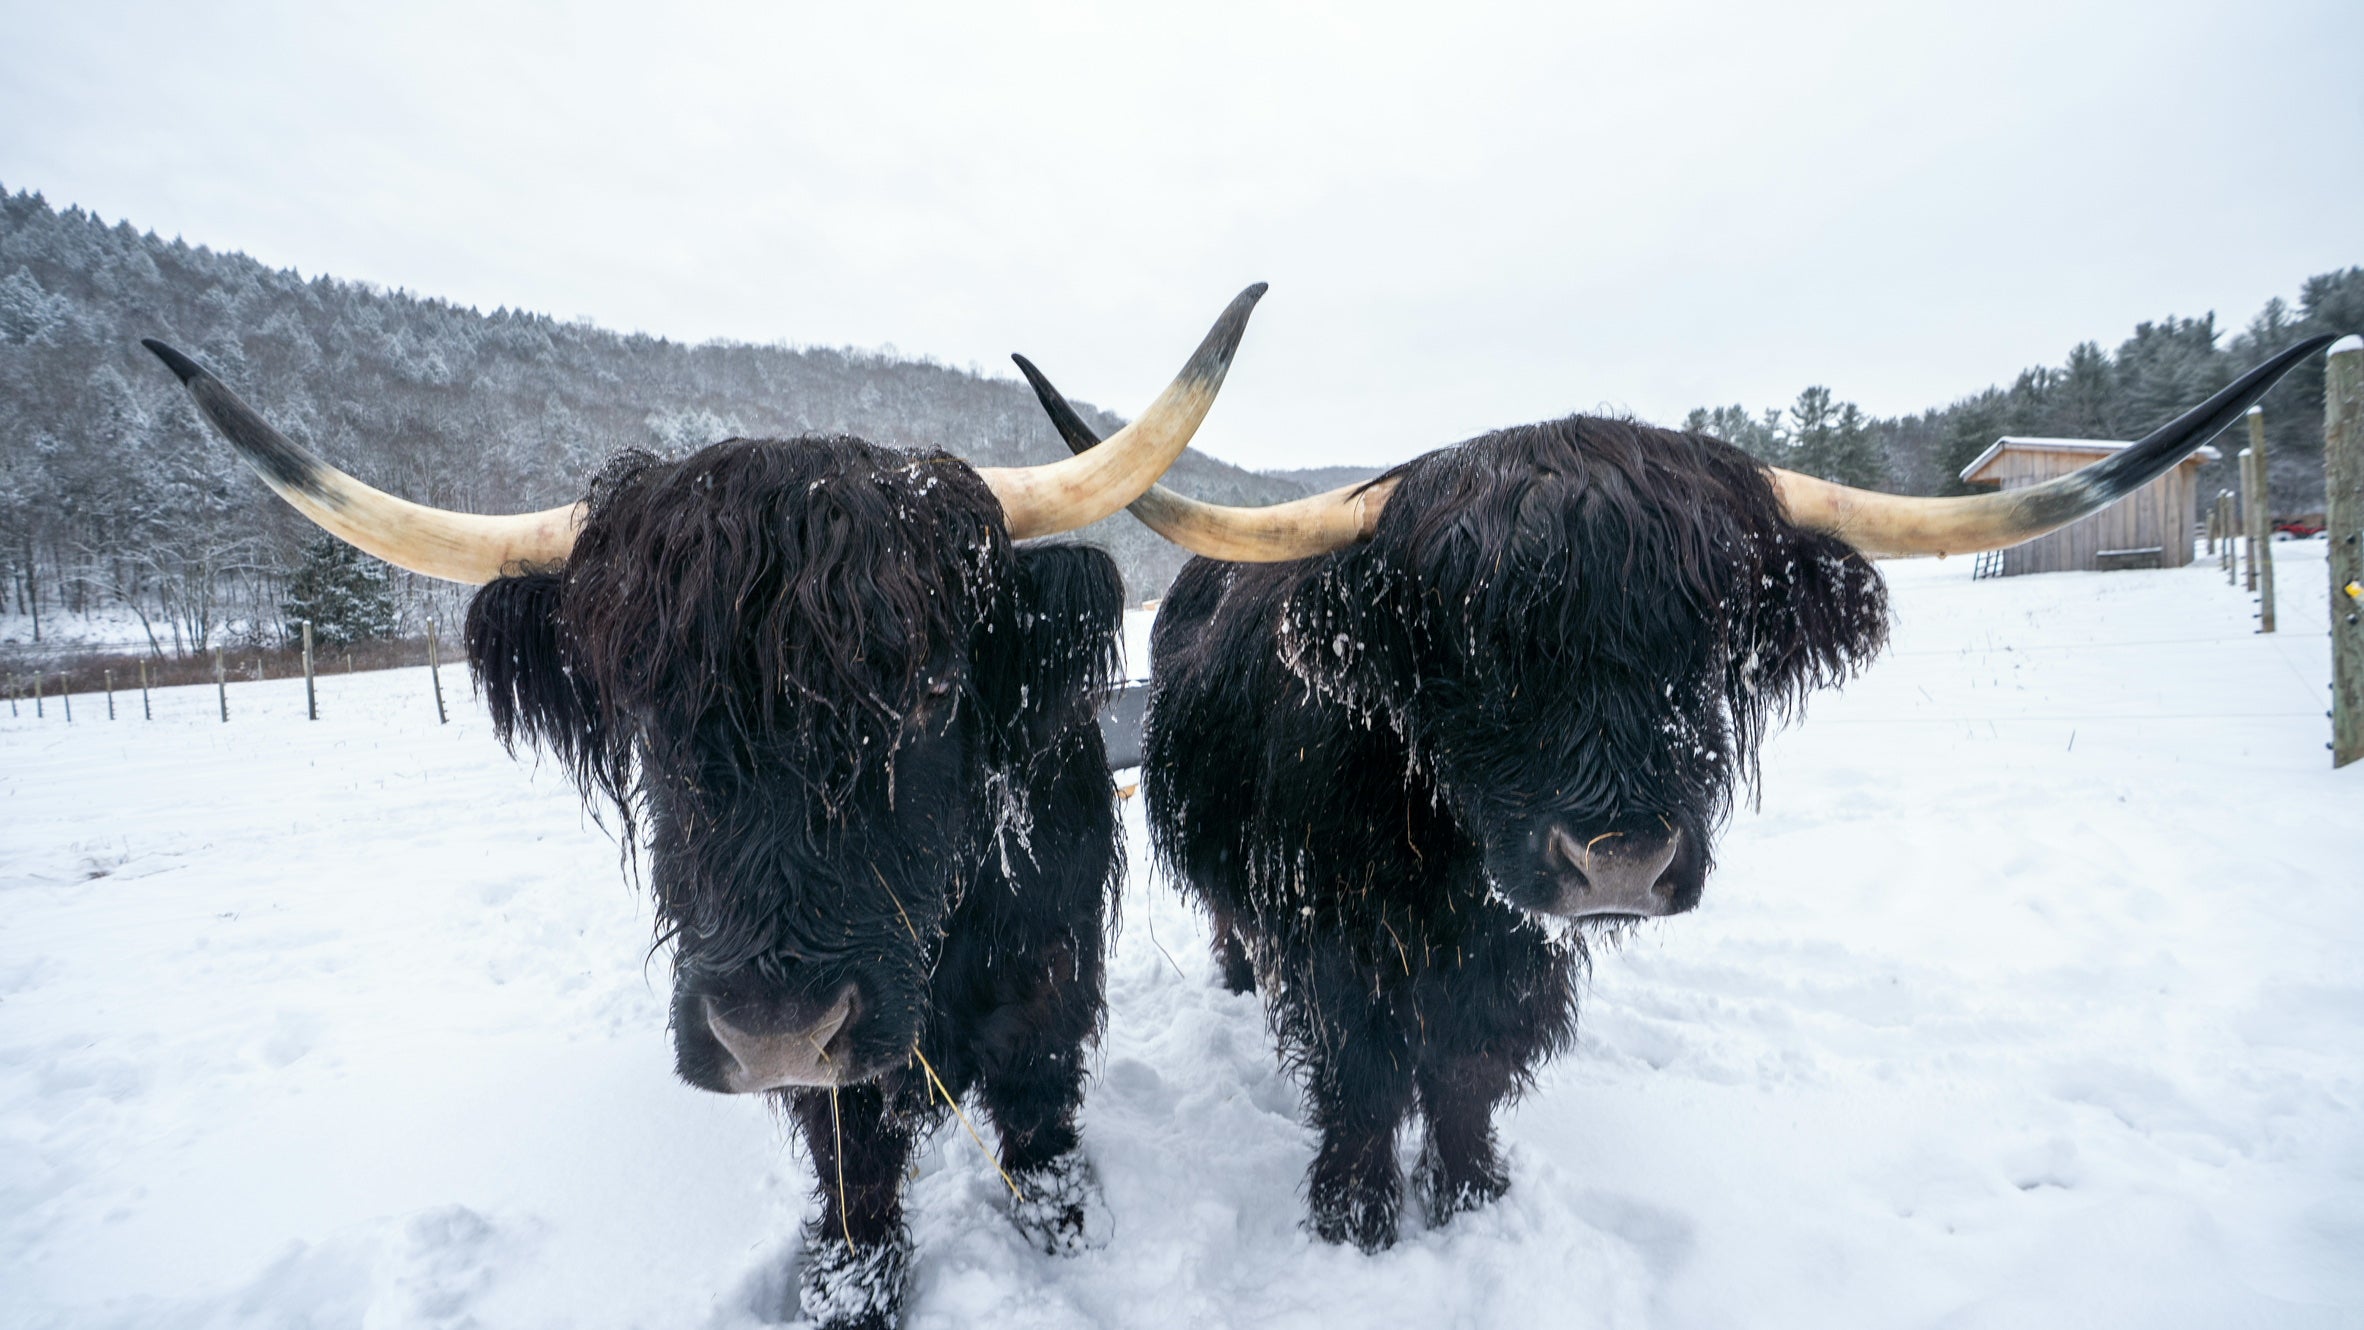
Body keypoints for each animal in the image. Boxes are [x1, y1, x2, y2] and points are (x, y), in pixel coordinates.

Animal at [138, 285, 1264, 1330]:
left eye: (933, 691)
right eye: (643, 711)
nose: (776, 1029)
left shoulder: (1046, 968)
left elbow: (1037, 1114)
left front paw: (1071, 1228)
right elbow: (853, 1170)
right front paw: (847, 1293)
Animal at [1014, 333, 2335, 1252]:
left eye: (1707, 641)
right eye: (1477, 641)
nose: (1620, 861)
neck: (1446, 881)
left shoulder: (1513, 953)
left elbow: (1469, 1070)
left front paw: (1473, 1194)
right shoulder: (1346, 941)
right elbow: (1367, 1072)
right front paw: (1355, 1217)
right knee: (1238, 933)